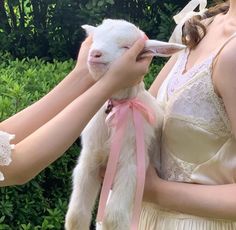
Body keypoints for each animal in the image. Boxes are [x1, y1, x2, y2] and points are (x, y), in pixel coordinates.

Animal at [65, 18, 185, 229]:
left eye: (126, 47)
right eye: (95, 39)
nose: (95, 53)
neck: (118, 108)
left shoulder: (133, 164)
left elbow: (113, 217)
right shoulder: (89, 158)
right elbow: (75, 216)